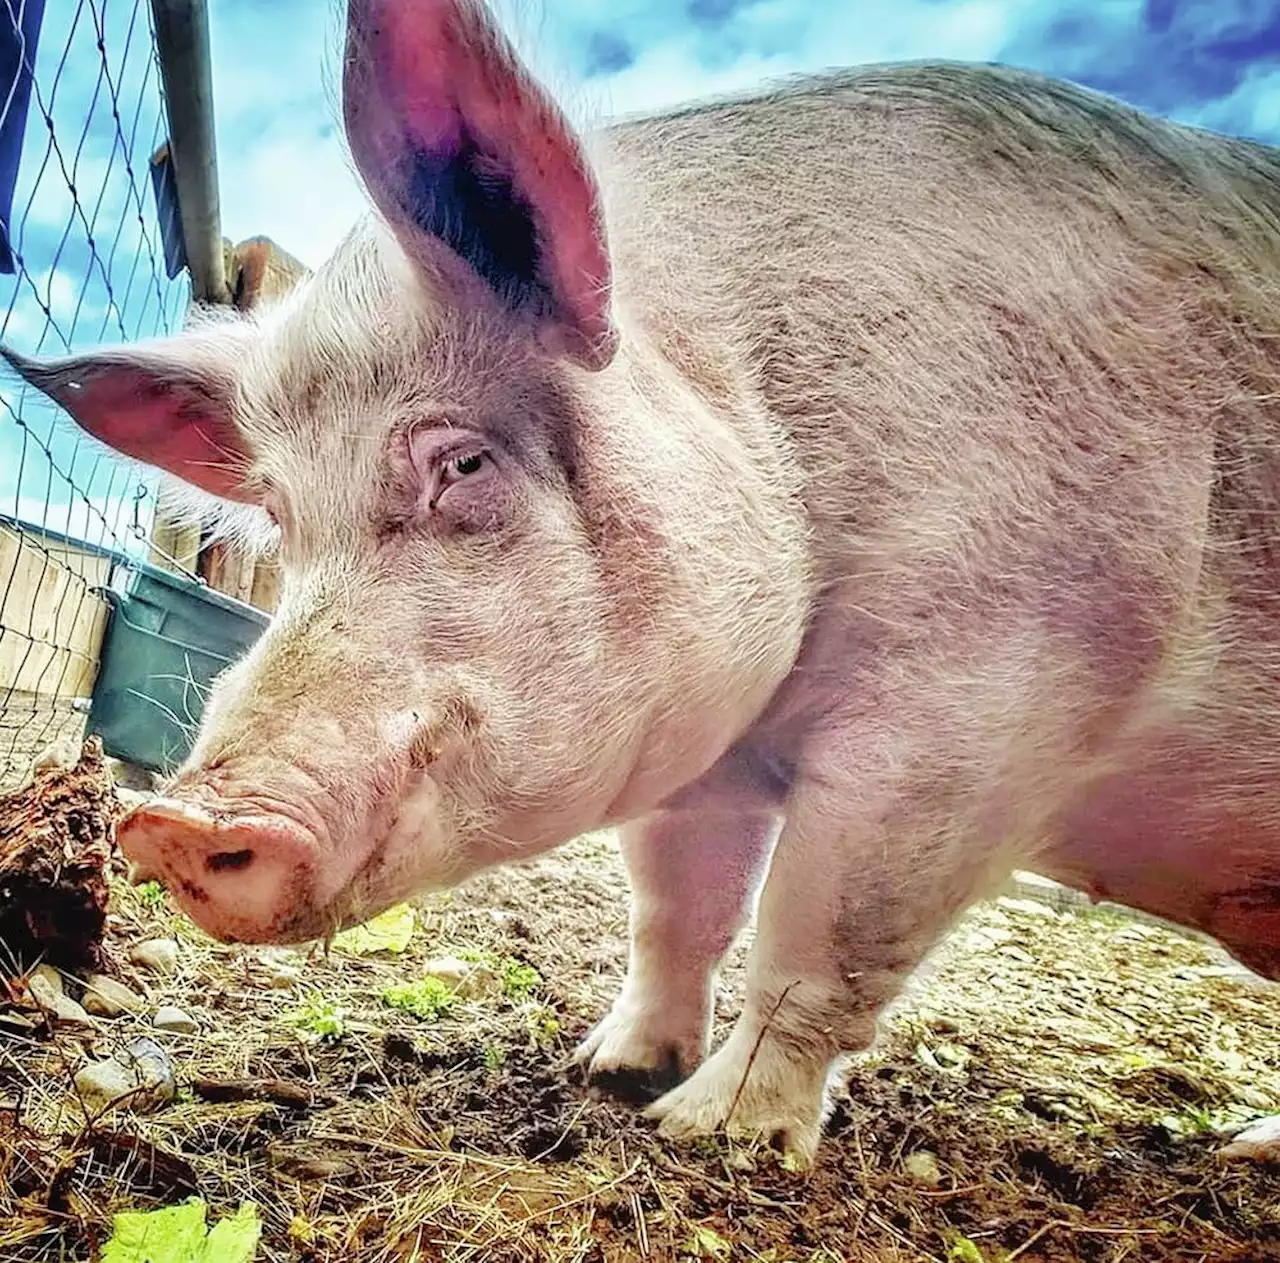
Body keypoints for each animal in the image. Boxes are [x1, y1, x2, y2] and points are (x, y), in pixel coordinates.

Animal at [7, 0, 1280, 1167]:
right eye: (280, 514)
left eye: (462, 463)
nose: (173, 820)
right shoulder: (702, 754)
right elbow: (677, 908)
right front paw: (609, 1071)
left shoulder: (995, 695)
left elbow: (818, 931)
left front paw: (711, 1135)